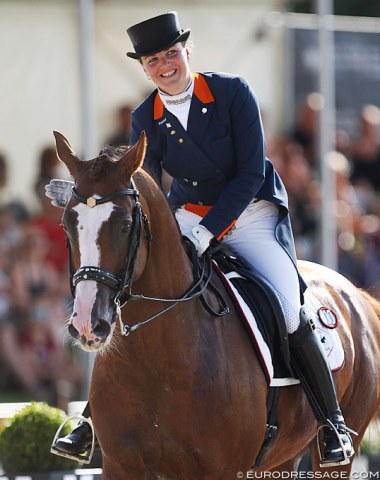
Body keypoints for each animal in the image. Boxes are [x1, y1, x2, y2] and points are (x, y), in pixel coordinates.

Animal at [54, 128, 380, 480]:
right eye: (67, 225)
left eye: (126, 224)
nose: (87, 324)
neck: (157, 359)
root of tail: (355, 293)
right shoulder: (119, 466)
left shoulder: (223, 468)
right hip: (279, 459)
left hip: (339, 450)